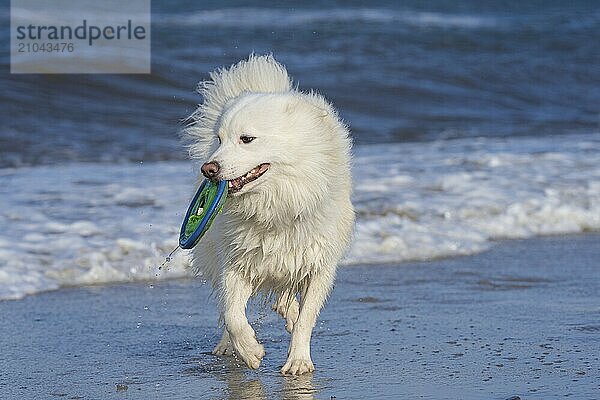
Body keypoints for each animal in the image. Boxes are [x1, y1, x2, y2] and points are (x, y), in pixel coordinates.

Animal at [183, 55, 352, 376]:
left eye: (246, 139)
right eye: (219, 139)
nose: (208, 169)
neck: (276, 207)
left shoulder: (319, 265)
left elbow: (306, 319)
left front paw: (298, 362)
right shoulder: (235, 261)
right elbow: (233, 314)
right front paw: (249, 350)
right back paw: (228, 346)